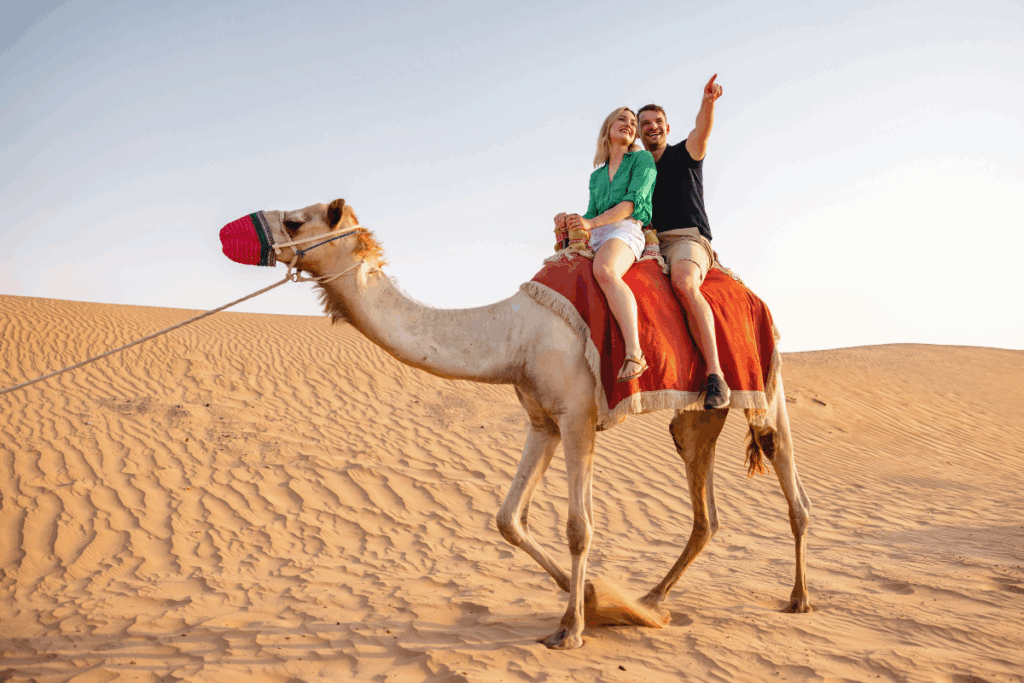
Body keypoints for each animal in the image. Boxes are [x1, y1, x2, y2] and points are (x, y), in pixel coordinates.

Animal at [254, 198, 812, 650]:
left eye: (295, 220)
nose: (257, 231)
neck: (513, 335)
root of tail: (753, 295)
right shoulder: (542, 420)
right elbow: (508, 518)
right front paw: (595, 599)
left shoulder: (577, 416)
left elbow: (579, 527)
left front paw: (572, 628)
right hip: (697, 418)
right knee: (705, 512)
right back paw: (652, 600)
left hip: (768, 382)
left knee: (789, 481)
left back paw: (798, 599)